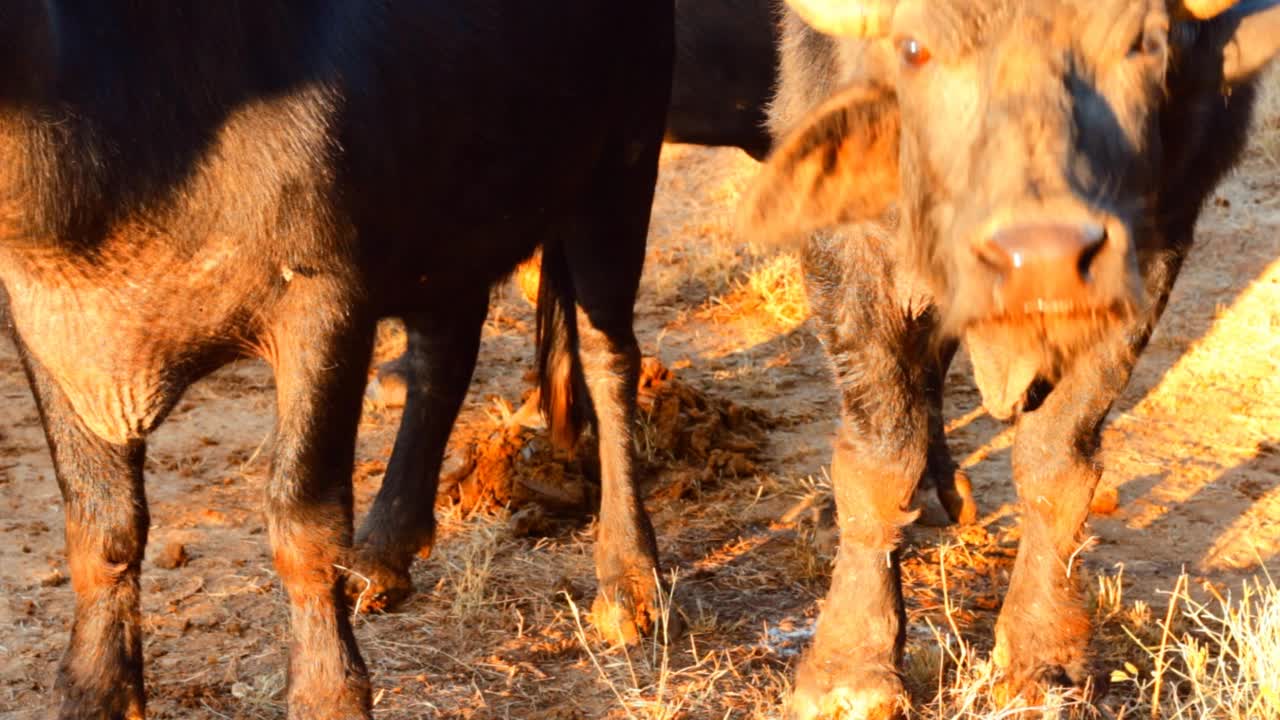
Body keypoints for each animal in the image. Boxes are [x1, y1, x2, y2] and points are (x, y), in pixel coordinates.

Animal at [0, 2, 675, 712]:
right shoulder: (45, 322)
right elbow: (99, 522)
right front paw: (92, 690)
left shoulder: (323, 302)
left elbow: (302, 517)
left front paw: (328, 693)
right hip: (447, 223)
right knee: (444, 353)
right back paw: (380, 555)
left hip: (620, 168)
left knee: (608, 356)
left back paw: (630, 581)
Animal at [742, 0, 1280, 712]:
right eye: (913, 49)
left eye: (1144, 44)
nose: (1043, 257)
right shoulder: (846, 246)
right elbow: (882, 453)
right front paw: (849, 670)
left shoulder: (1151, 247)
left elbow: (1056, 458)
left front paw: (1039, 656)